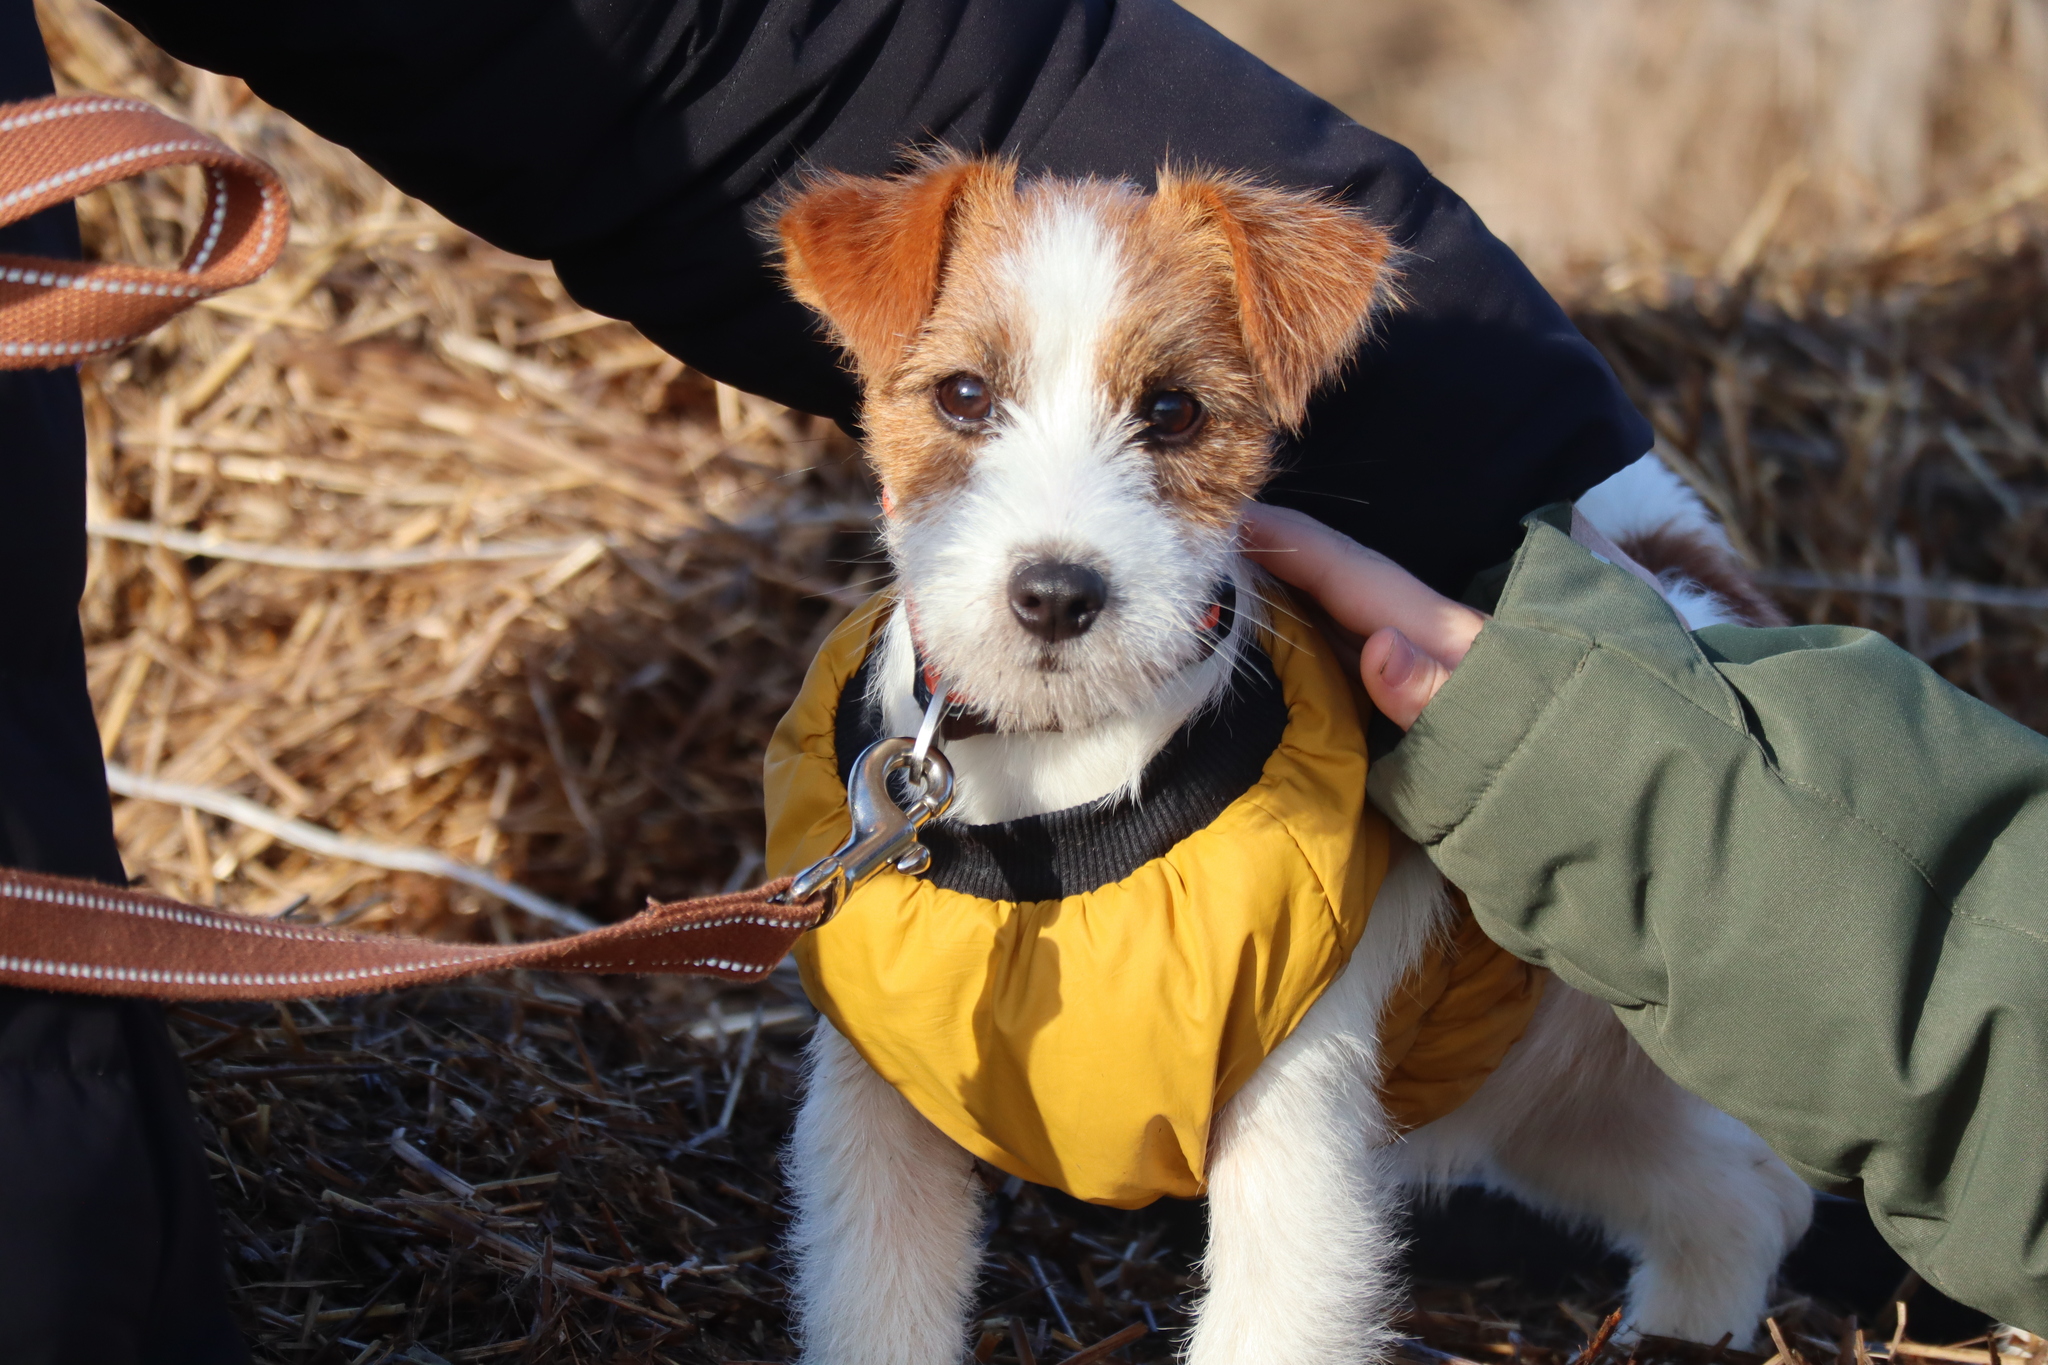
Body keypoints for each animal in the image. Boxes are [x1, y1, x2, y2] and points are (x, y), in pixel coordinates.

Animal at [765, 154, 1810, 1365]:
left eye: (1172, 411)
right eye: (963, 396)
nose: (1057, 594)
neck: (1057, 778)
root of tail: (1687, 601)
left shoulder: (1291, 1139)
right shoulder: (880, 1116)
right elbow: (875, 1314)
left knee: (1761, 1186)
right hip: (1558, 1108)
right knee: (1724, 1199)